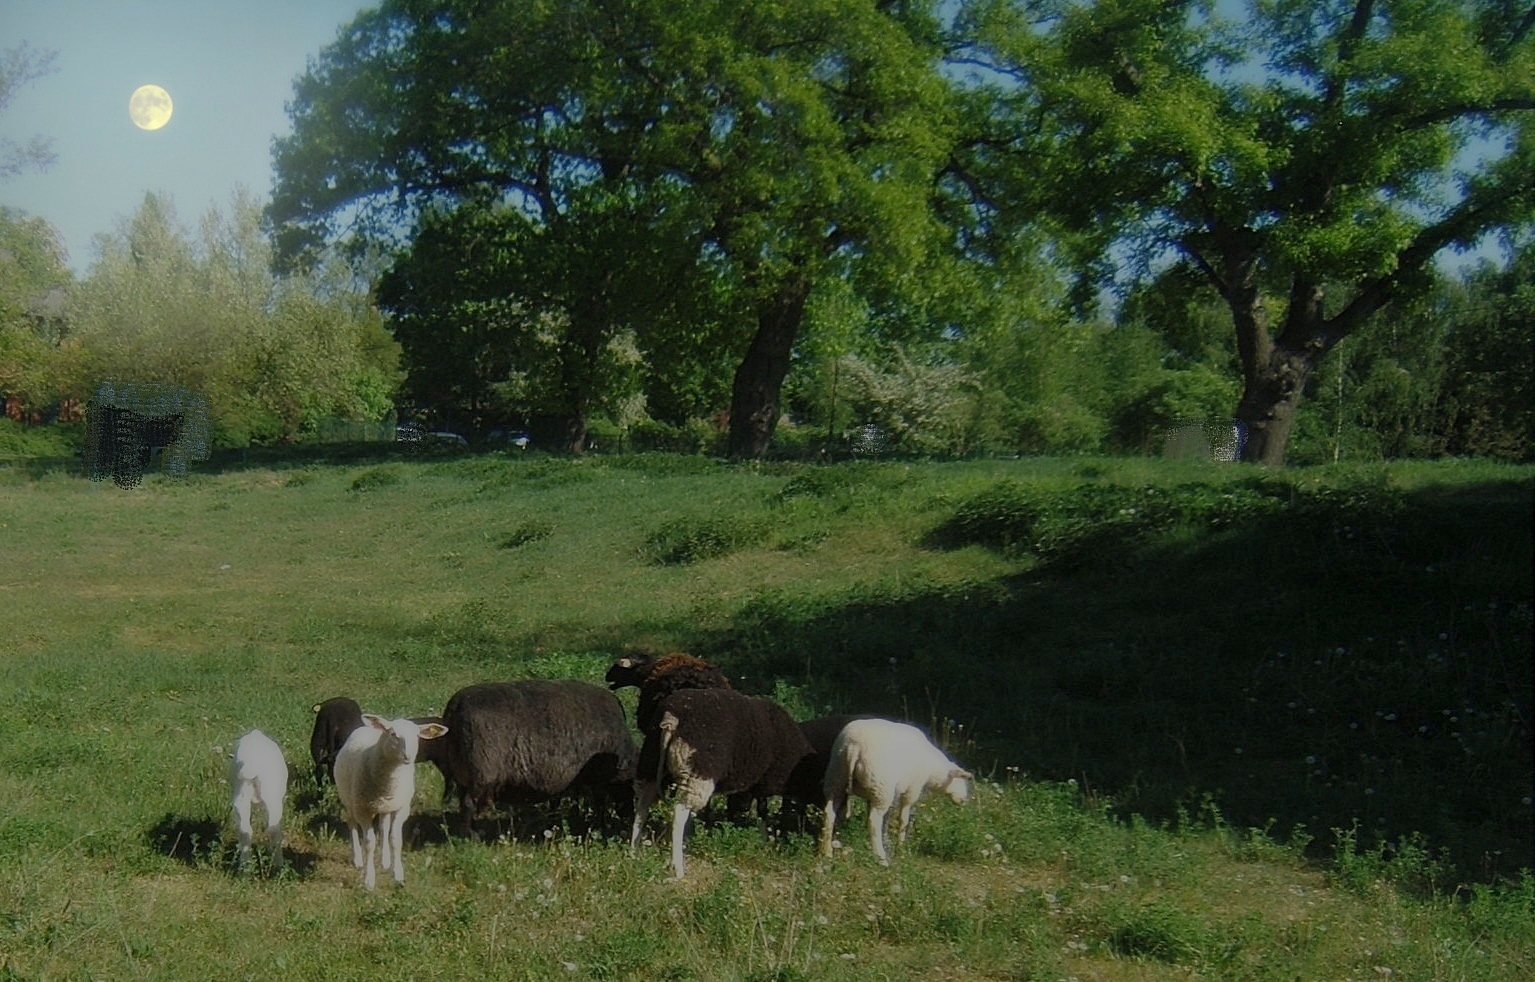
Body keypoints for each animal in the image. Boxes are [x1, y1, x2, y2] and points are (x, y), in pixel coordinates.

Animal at [227, 724, 288, 871]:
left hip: (241, 799)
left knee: (246, 830)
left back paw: (245, 866)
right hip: (272, 798)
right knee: (273, 830)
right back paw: (278, 863)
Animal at [337, 711, 448, 889]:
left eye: (417, 736)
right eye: (393, 734)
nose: (408, 756)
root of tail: (366, 727)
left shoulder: (401, 808)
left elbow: (395, 840)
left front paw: (398, 874)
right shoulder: (363, 810)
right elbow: (369, 843)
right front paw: (369, 879)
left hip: (386, 806)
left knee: (384, 826)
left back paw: (385, 860)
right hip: (349, 801)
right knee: (352, 823)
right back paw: (357, 859)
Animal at [445, 681, 635, 834]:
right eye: (630, 787)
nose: (628, 815)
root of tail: (456, 705)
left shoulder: (568, 776)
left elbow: (564, 800)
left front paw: (559, 821)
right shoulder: (598, 778)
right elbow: (599, 804)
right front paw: (600, 826)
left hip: (462, 772)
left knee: (464, 802)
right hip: (482, 773)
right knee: (468, 803)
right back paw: (470, 836)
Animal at [629, 687, 816, 877]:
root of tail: (671, 720)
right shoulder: (763, 781)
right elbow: (762, 811)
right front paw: (764, 840)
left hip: (650, 762)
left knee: (642, 805)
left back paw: (634, 850)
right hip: (698, 773)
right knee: (679, 812)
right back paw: (678, 867)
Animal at [822, 711, 963, 865]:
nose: (963, 800)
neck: (933, 770)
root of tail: (854, 748)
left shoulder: (874, 795)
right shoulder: (912, 790)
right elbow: (903, 819)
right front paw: (900, 847)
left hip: (837, 777)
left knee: (829, 812)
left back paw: (827, 852)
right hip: (881, 787)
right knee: (874, 820)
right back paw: (881, 858)